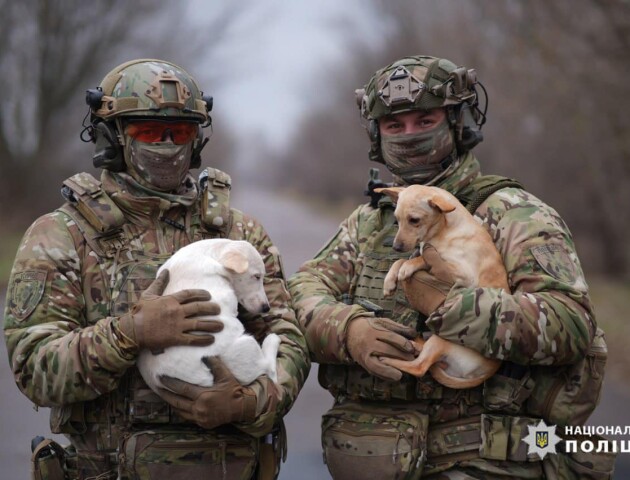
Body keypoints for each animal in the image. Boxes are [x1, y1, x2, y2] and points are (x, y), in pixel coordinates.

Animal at [138, 239, 282, 394]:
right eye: (257, 276)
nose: (266, 308)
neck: (211, 254)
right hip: (246, 347)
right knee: (269, 368)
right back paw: (272, 340)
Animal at [376, 186, 504, 388]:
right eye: (397, 219)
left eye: (414, 220)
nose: (396, 246)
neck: (445, 230)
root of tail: (487, 373)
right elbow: (400, 261)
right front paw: (390, 281)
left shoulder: (463, 274)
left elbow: (419, 259)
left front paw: (407, 267)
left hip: (441, 340)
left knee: (419, 367)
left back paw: (388, 360)